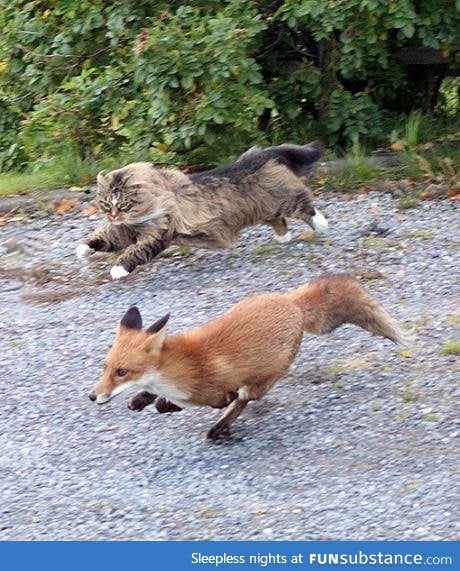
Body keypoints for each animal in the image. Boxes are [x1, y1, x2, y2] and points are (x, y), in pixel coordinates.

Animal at [76, 141, 328, 280]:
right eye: (105, 203)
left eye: (123, 204)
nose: (112, 215)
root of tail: (257, 156)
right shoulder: (123, 231)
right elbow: (102, 237)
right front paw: (82, 249)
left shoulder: (157, 233)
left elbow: (134, 252)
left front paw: (117, 270)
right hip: (265, 208)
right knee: (279, 220)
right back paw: (283, 238)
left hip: (284, 199)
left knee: (305, 203)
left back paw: (321, 224)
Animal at [88, 274, 408, 440]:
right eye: (106, 367)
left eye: (122, 372)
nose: (92, 396)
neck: (183, 367)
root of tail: (290, 303)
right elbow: (153, 398)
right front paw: (144, 399)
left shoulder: (217, 392)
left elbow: (221, 400)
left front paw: (165, 404)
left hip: (264, 379)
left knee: (244, 400)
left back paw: (220, 428)